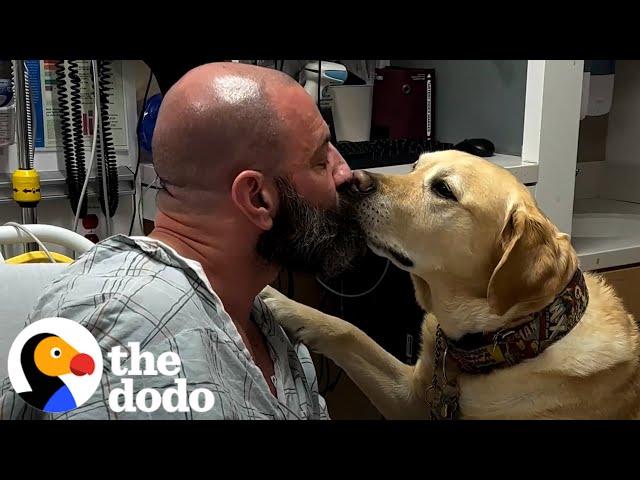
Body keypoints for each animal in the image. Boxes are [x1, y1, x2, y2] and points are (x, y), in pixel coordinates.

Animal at [260, 151, 640, 420]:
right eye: (414, 165)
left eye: (443, 190)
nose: (351, 179)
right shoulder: (409, 397)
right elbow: (349, 331)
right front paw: (277, 299)